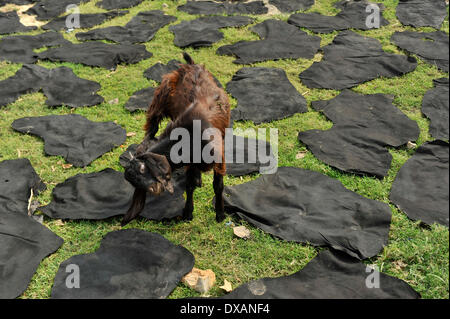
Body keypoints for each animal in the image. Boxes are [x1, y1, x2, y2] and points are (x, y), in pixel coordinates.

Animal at [122, 52, 230, 226]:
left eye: (143, 168)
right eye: (134, 182)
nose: (153, 188)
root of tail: (191, 65)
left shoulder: (219, 155)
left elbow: (218, 185)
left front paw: (220, 214)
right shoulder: (191, 161)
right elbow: (189, 184)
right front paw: (188, 212)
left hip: (161, 93)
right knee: (151, 129)